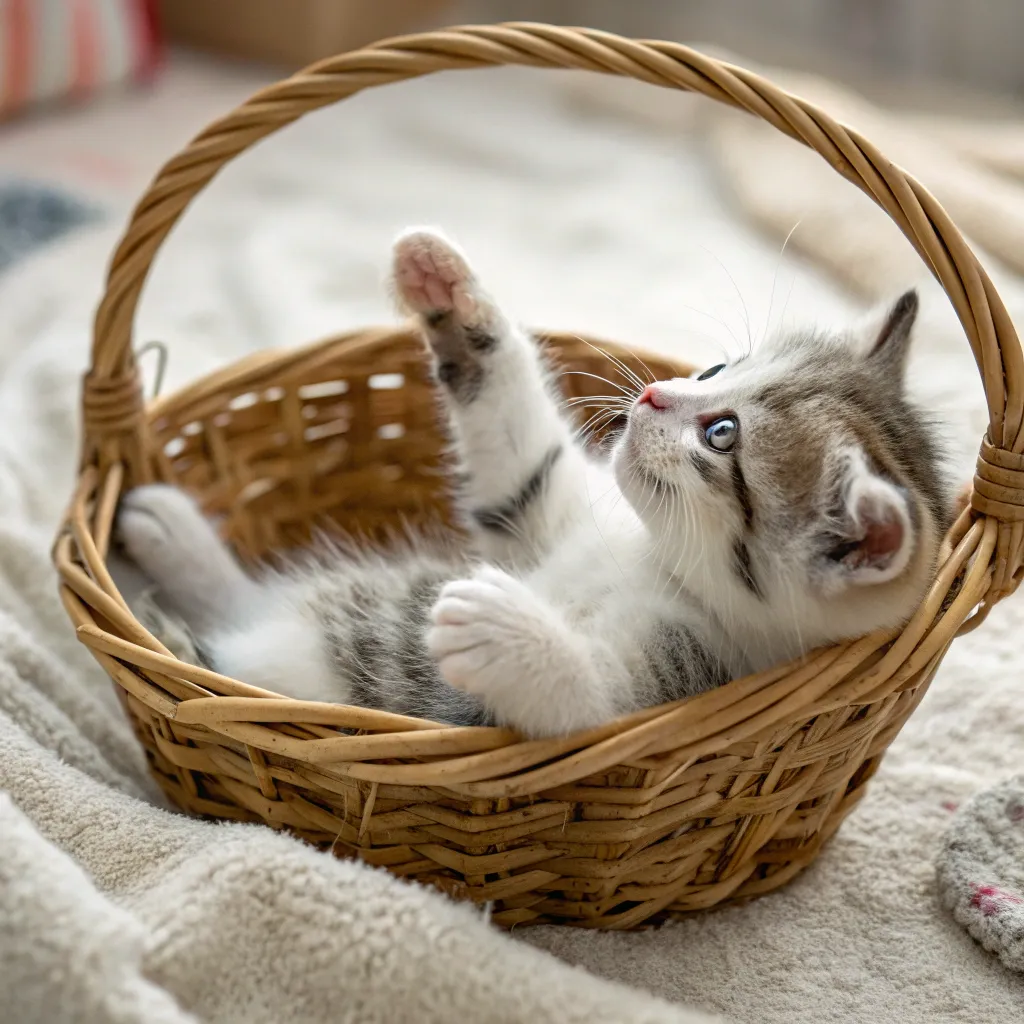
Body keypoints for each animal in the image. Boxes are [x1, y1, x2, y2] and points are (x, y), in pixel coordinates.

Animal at [116, 226, 954, 737]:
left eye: (722, 436)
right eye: (717, 367)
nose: (653, 395)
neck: (654, 561)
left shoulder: (678, 696)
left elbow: (586, 703)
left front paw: (501, 630)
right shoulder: (539, 517)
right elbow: (520, 446)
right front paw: (452, 293)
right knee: (243, 605)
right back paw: (171, 534)